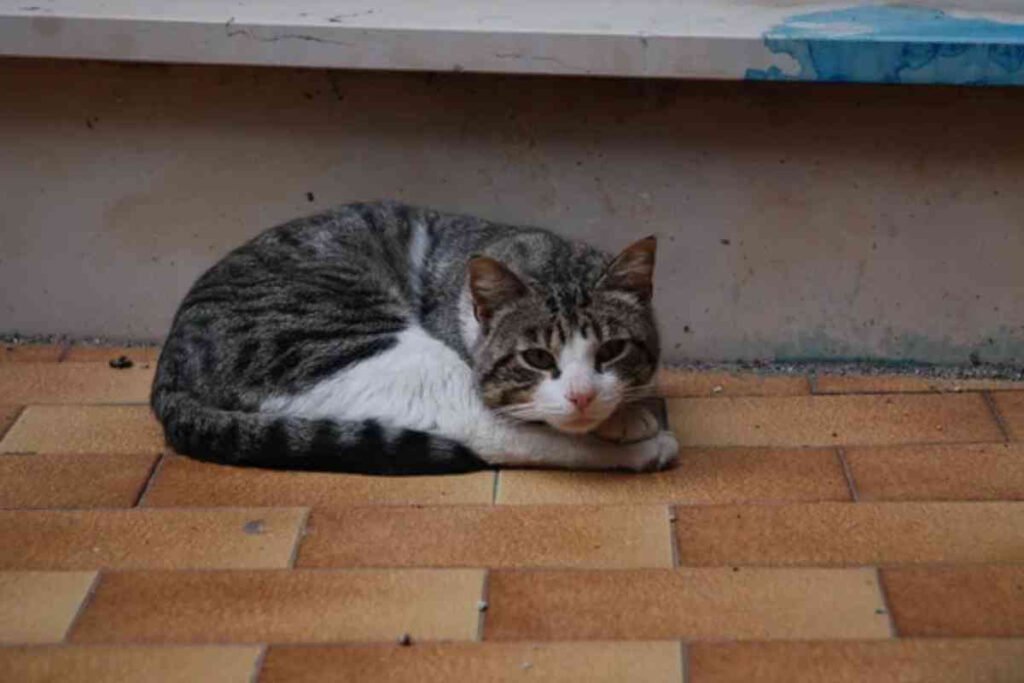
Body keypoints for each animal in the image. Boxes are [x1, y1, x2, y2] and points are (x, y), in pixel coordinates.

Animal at [149, 200, 679, 473]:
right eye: (537, 358)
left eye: (612, 349)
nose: (583, 397)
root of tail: (169, 365)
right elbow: (524, 421)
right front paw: (628, 425)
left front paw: (625, 410)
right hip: (360, 341)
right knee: (483, 434)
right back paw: (643, 452)